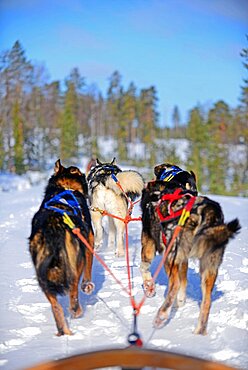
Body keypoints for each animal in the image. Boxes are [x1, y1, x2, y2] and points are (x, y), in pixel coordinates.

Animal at [29, 159, 94, 336]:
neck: (65, 188)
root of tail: (53, 224)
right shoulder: (89, 240)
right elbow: (89, 269)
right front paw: (88, 286)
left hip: (42, 274)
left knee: (55, 305)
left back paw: (63, 330)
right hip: (75, 262)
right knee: (73, 287)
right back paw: (76, 310)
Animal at [140, 163, 239, 334]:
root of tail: (207, 212)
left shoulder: (150, 243)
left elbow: (144, 267)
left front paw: (149, 288)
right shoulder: (183, 259)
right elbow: (184, 281)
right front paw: (180, 301)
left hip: (171, 256)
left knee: (174, 285)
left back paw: (161, 315)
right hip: (209, 266)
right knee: (206, 301)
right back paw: (198, 334)